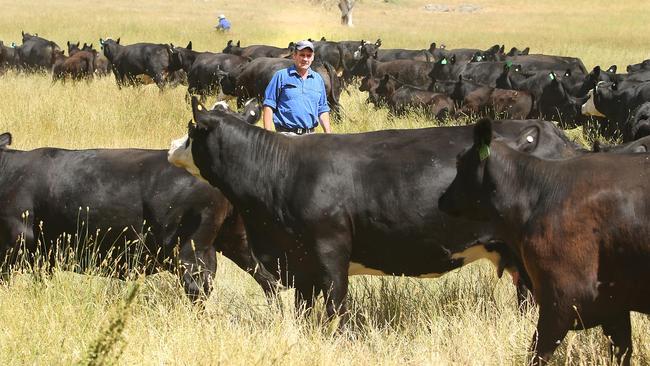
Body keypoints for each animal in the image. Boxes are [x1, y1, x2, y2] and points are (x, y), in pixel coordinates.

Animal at [0, 133, 276, 302]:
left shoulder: (13, 243)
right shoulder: (43, 256)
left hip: (189, 251)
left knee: (198, 290)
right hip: (236, 240)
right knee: (268, 279)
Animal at [168, 98, 576, 318]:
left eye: (190, 129)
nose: (170, 148)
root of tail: (549, 132)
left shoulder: (329, 251)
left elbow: (336, 307)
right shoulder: (299, 262)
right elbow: (303, 309)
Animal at [438, 118, 648, 364]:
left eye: (460, 161)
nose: (441, 199)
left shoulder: (562, 298)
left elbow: (536, 353)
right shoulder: (614, 304)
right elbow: (621, 351)